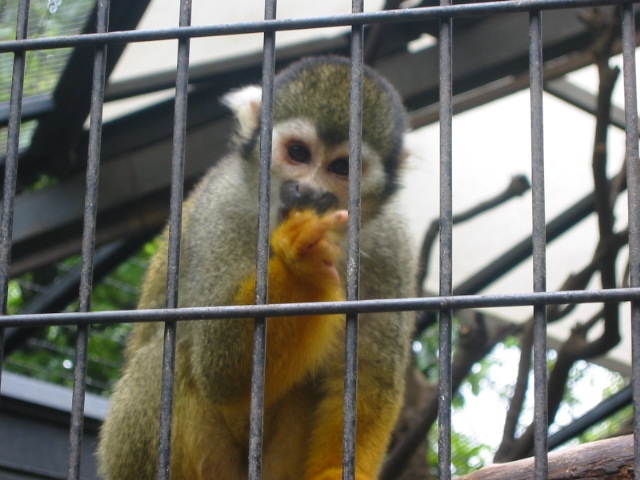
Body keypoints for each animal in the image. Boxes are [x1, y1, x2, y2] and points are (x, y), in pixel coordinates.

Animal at [96, 54, 416, 478]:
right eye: (297, 153)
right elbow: (220, 367)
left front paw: (340, 471)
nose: (309, 192)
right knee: (166, 360)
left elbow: (368, 374)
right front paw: (302, 264)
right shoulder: (223, 207)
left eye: (342, 167)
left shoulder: (391, 242)